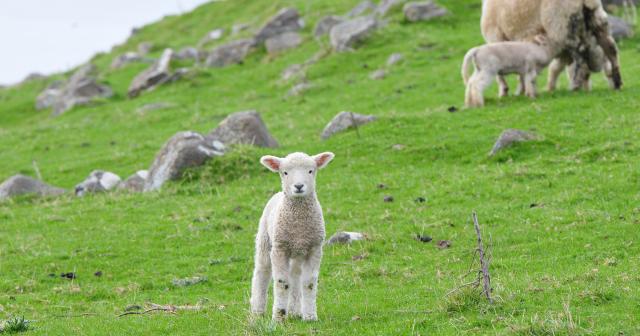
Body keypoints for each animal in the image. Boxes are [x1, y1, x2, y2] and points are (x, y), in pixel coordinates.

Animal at [250, 151, 336, 322]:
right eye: (285, 172)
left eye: (310, 171)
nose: (298, 186)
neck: (298, 225)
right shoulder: (279, 249)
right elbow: (281, 283)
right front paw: (278, 317)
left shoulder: (314, 248)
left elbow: (309, 283)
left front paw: (310, 316)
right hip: (265, 240)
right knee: (262, 272)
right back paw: (257, 312)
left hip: (297, 253)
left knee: (295, 276)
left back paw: (294, 311)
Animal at [482, 0, 624, 92]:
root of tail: (587, 1)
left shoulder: (495, 36)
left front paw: (505, 90)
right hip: (597, 20)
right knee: (611, 49)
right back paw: (617, 81)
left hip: (563, 26)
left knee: (580, 56)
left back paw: (575, 85)